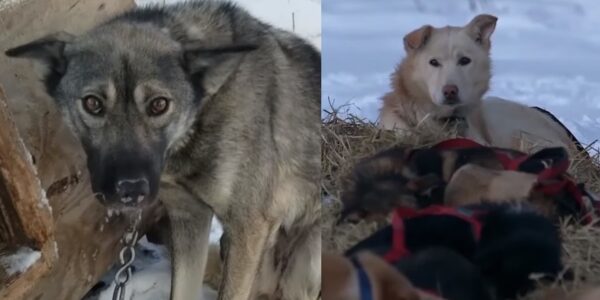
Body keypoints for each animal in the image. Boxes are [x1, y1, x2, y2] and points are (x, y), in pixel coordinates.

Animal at [5, 1, 324, 298]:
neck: (203, 111)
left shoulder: (247, 229)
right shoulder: (188, 217)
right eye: (93, 103)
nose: (131, 189)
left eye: (159, 104)